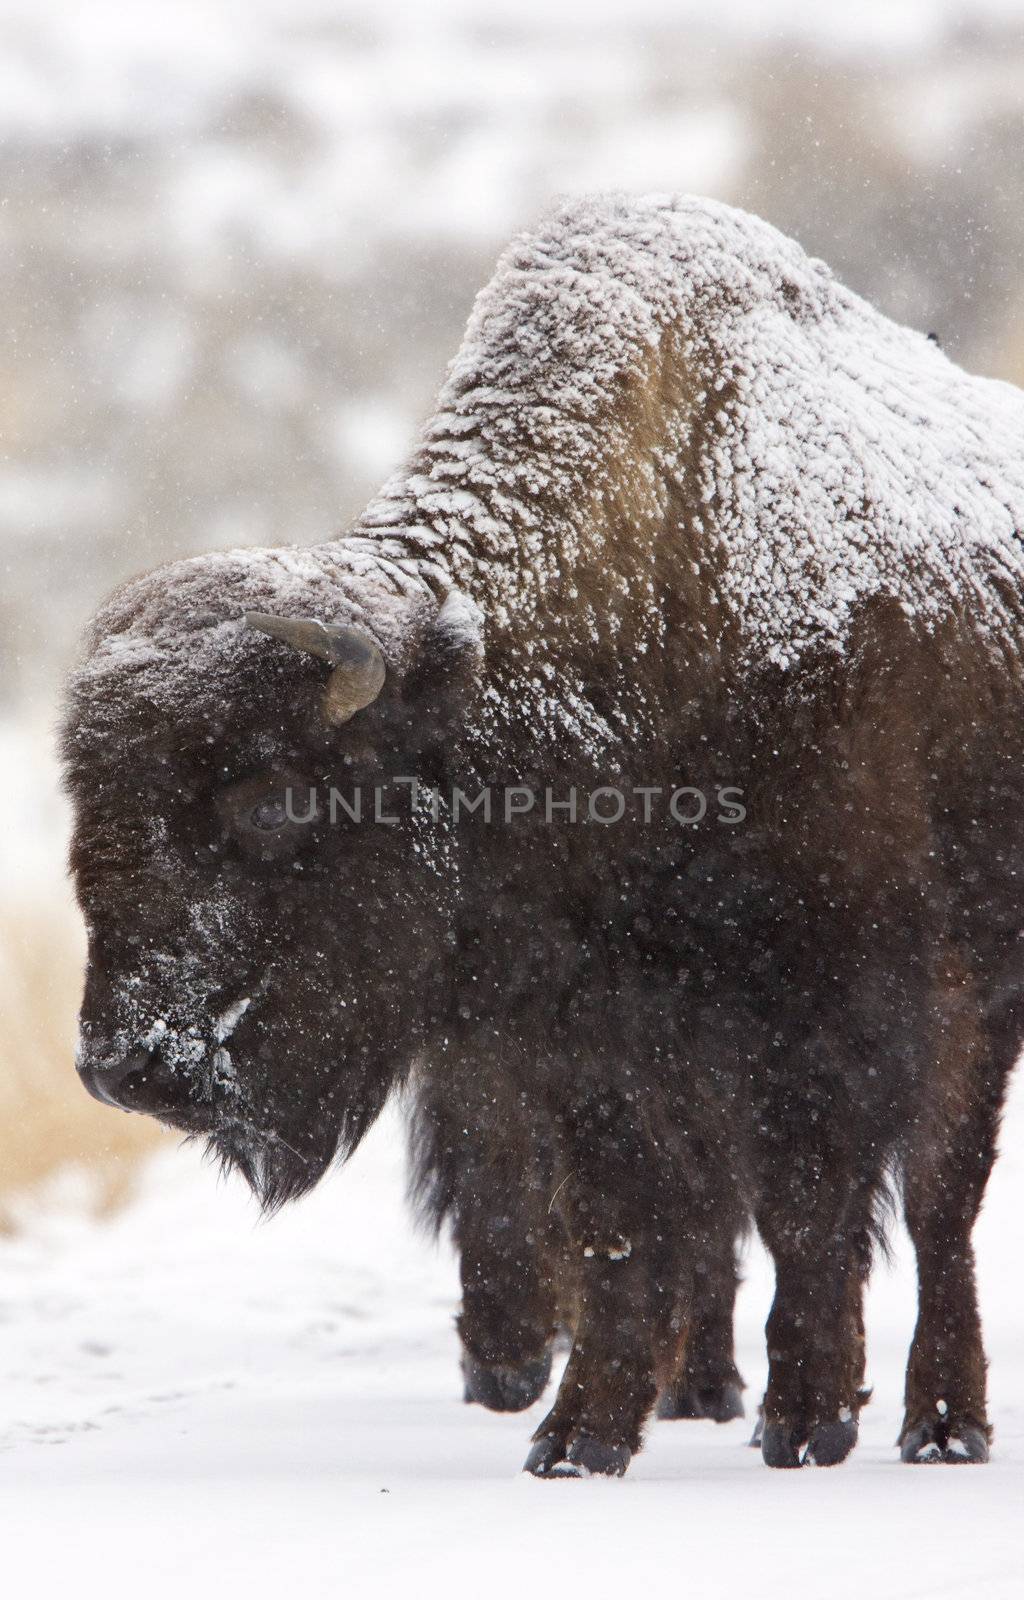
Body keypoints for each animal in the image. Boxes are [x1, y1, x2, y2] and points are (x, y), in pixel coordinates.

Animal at [62, 196, 1024, 1472]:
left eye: (270, 797)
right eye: (89, 811)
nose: (125, 1066)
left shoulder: (819, 1004)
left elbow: (808, 1207)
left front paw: (805, 1417)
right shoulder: (575, 1044)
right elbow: (623, 1222)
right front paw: (581, 1439)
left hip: (978, 995)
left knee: (941, 1205)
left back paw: (939, 1424)